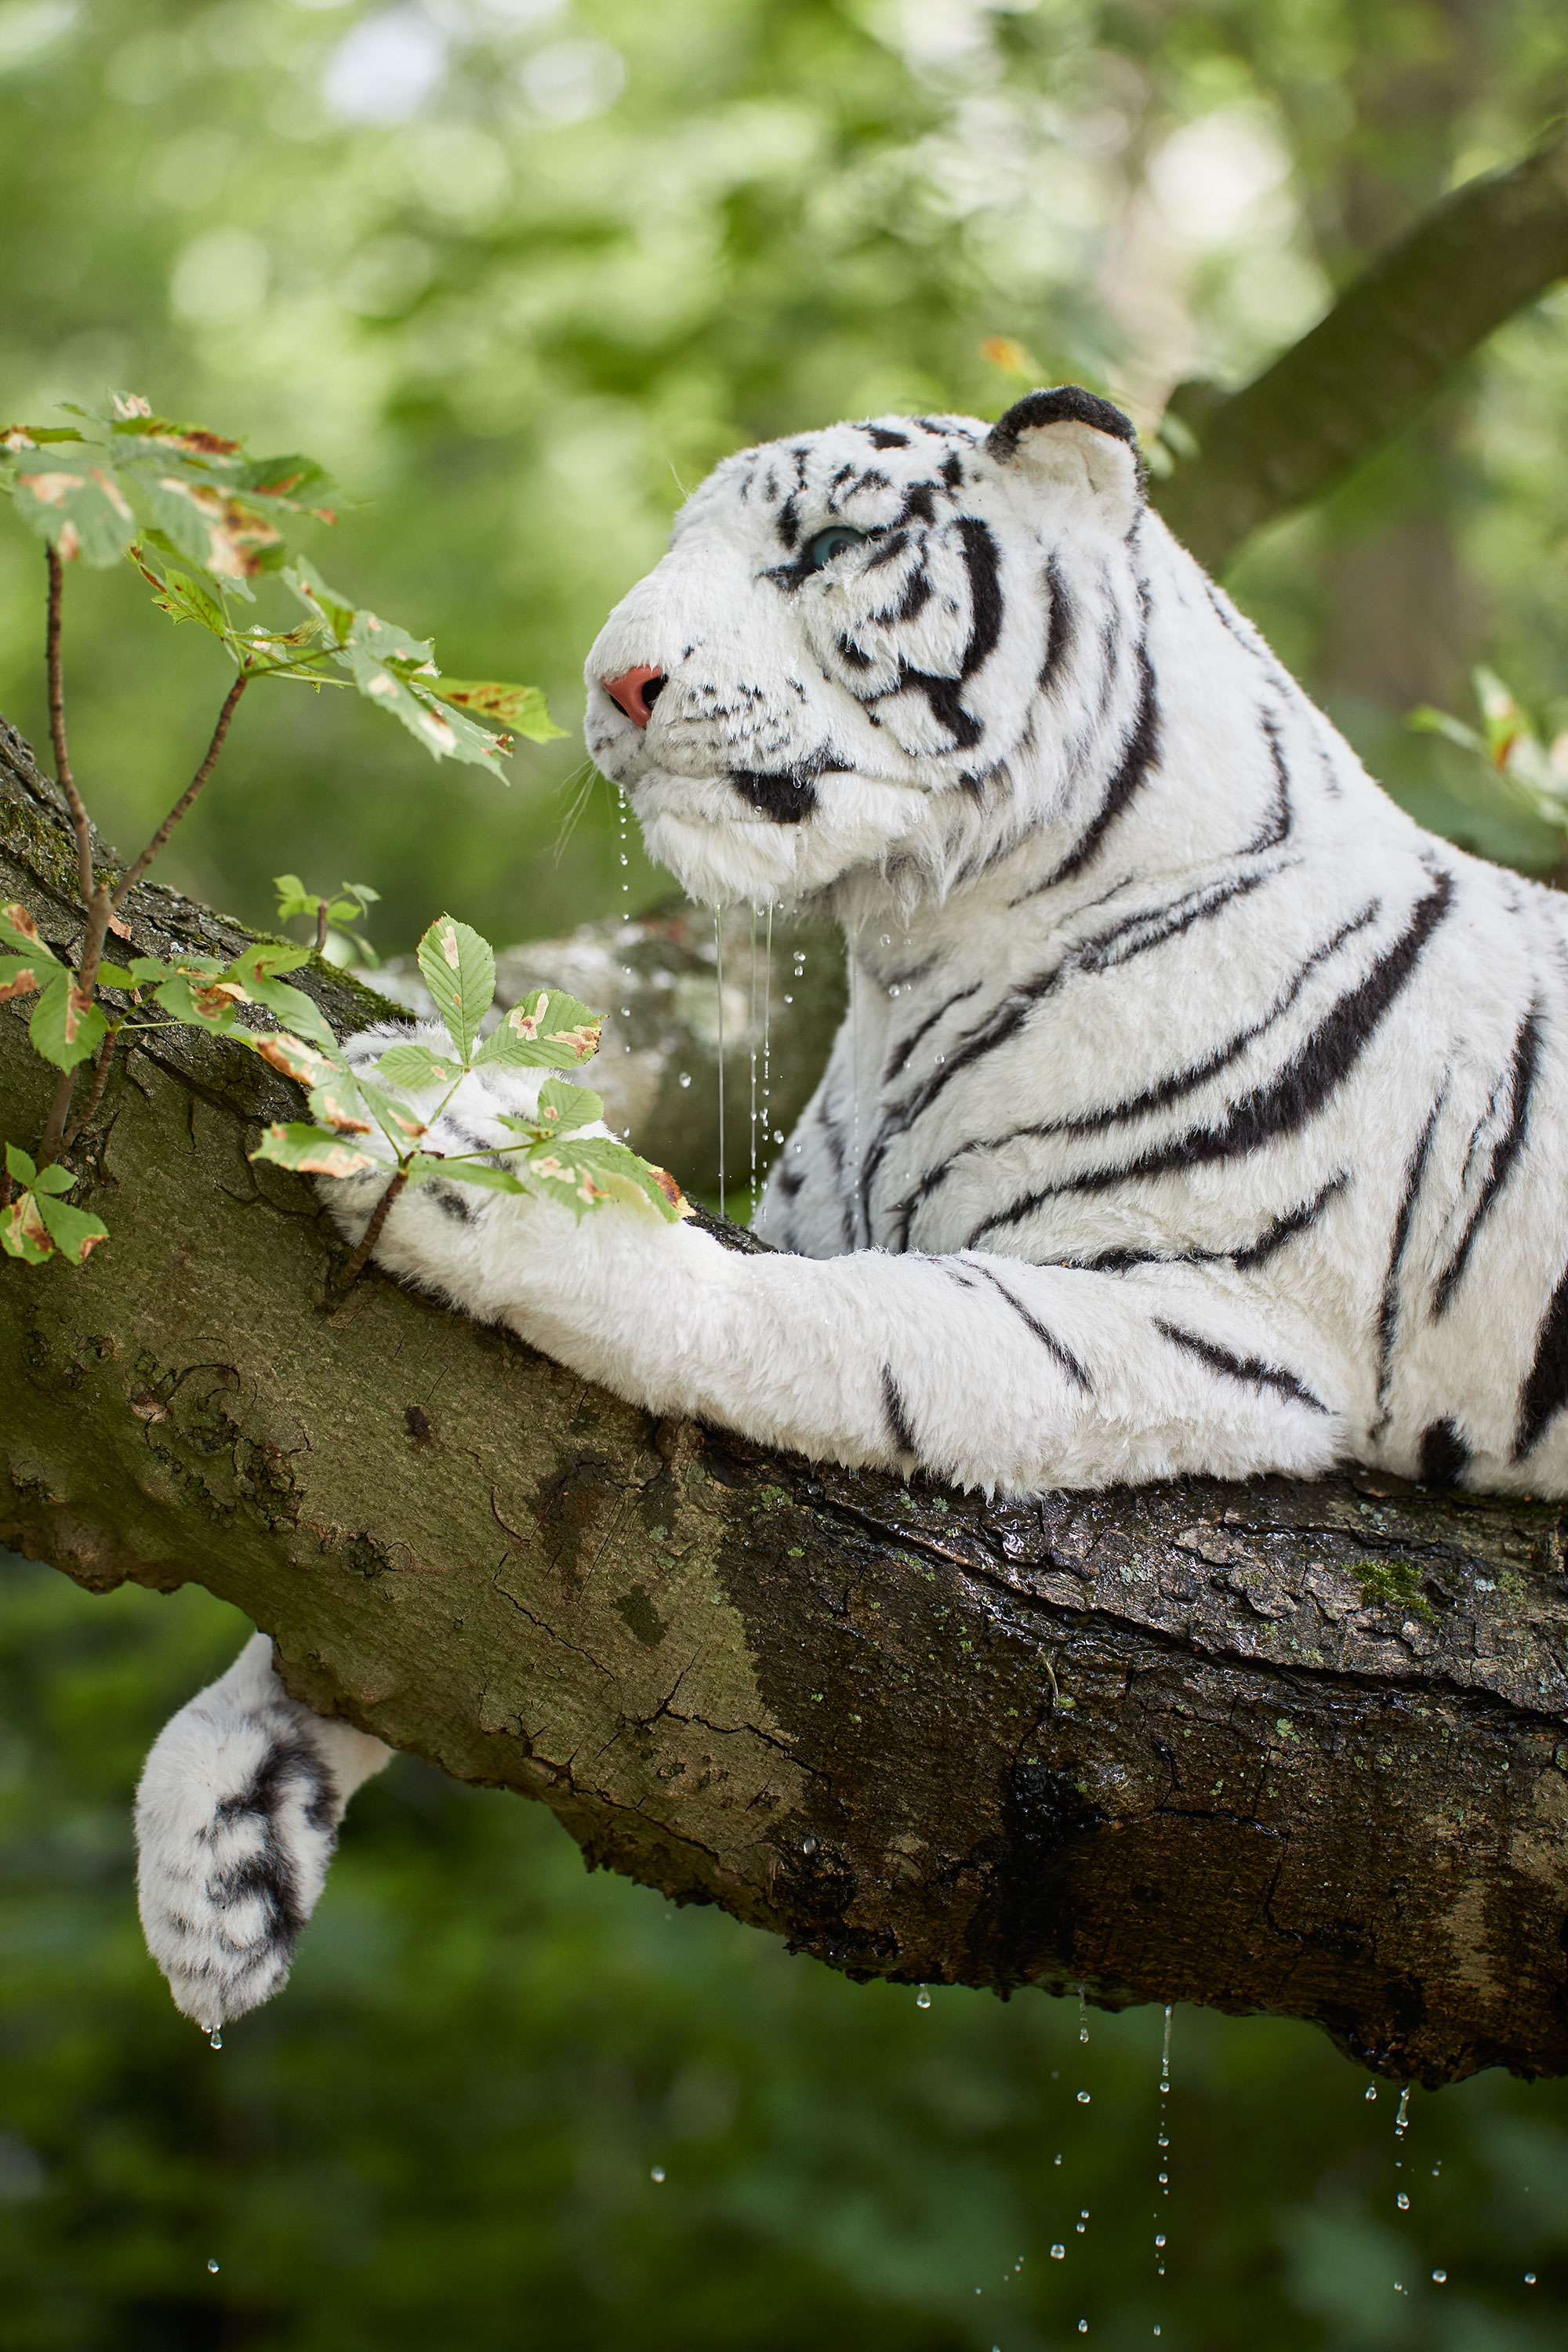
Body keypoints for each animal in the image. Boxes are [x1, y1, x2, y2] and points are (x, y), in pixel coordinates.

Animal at [134, 385, 1568, 2032]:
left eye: (821, 546)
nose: (613, 684)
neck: (914, 949)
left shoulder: (1202, 1319)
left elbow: (806, 1323)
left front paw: (463, 1164)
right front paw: (218, 1845)